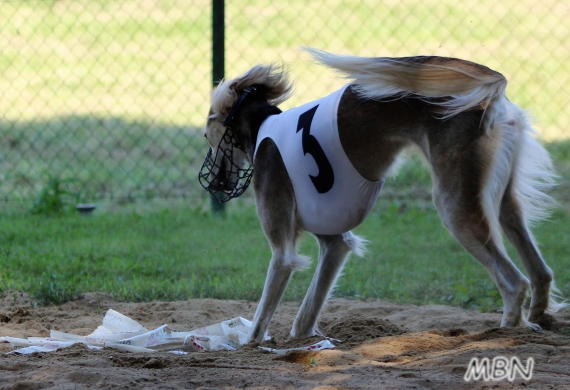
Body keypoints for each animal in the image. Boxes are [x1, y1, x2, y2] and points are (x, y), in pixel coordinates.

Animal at [197, 48, 560, 342]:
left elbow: (263, 314)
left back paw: (506, 331)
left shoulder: (284, 252)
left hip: (455, 204)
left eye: (205, 134)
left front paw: (247, 343)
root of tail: (491, 99)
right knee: (539, 269)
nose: (211, 182)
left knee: (514, 283)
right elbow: (305, 317)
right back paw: (540, 316)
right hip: (499, 199)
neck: (261, 128)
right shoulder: (336, 242)